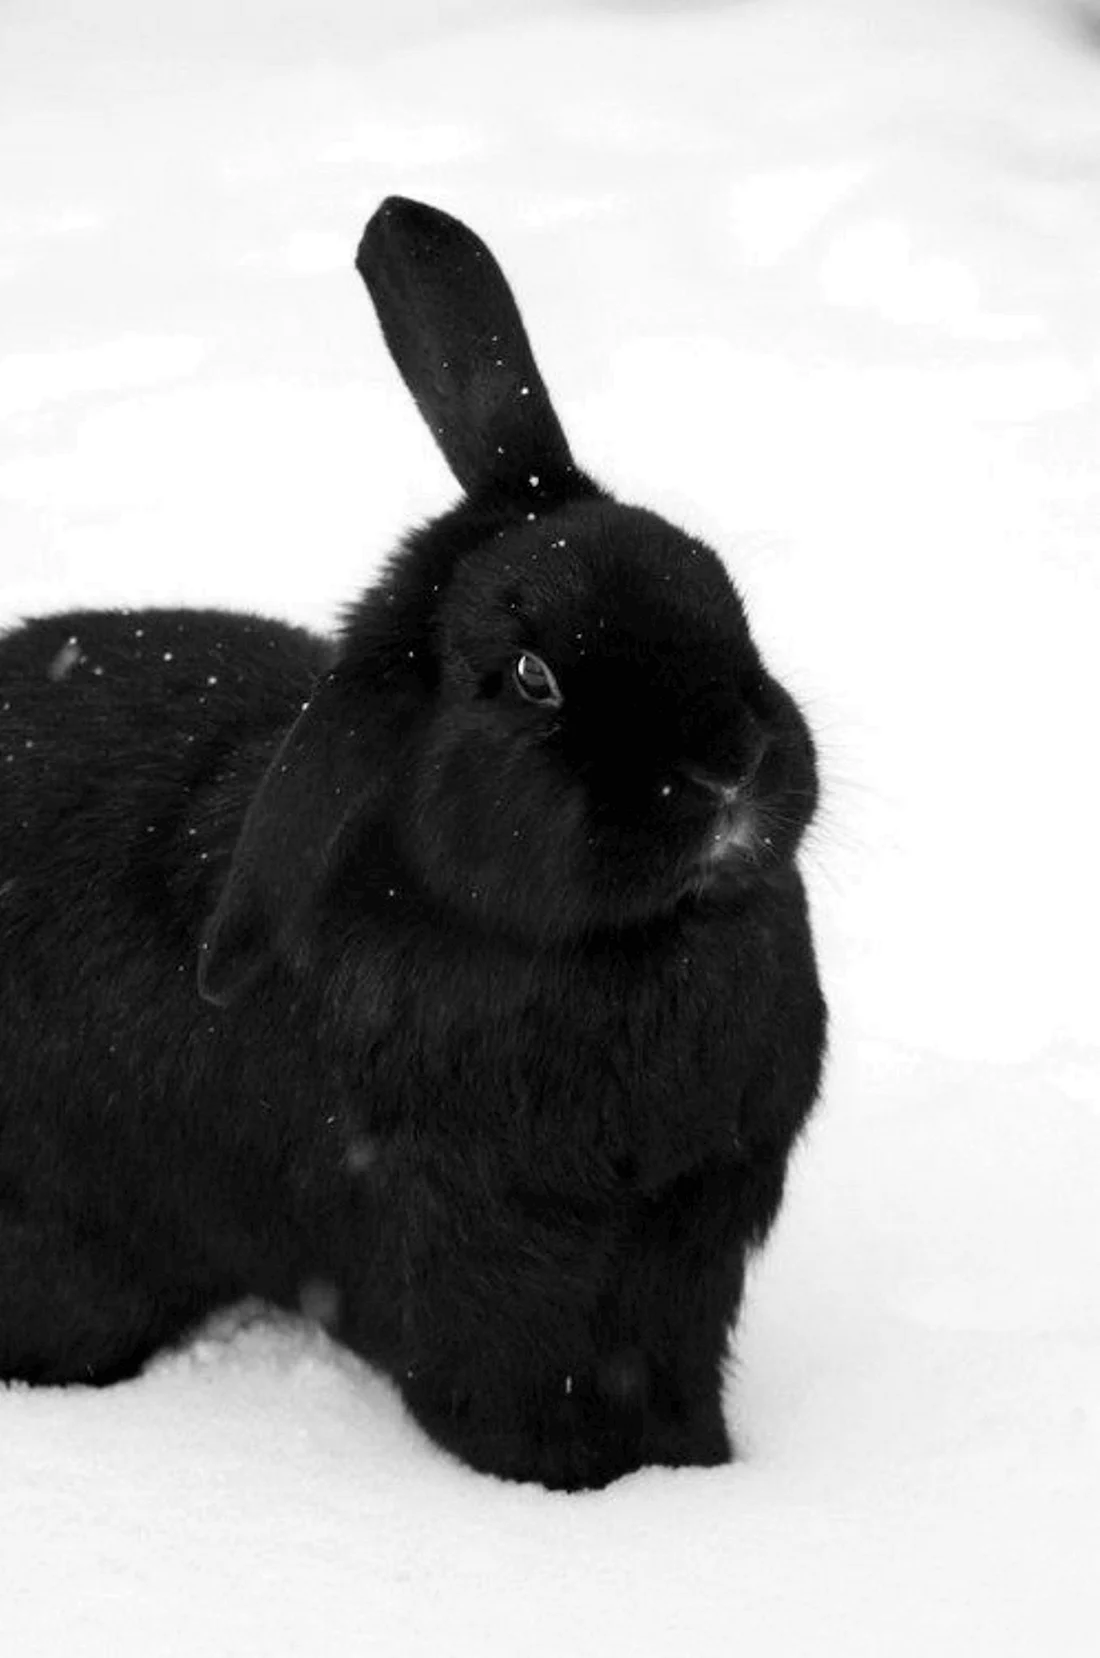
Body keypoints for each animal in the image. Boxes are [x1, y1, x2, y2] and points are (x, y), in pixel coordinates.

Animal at [0, 196, 827, 1491]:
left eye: (711, 577)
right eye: (533, 679)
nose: (729, 762)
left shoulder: (695, 1234)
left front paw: (694, 1471)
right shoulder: (487, 1253)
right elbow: (515, 1393)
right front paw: (577, 1491)